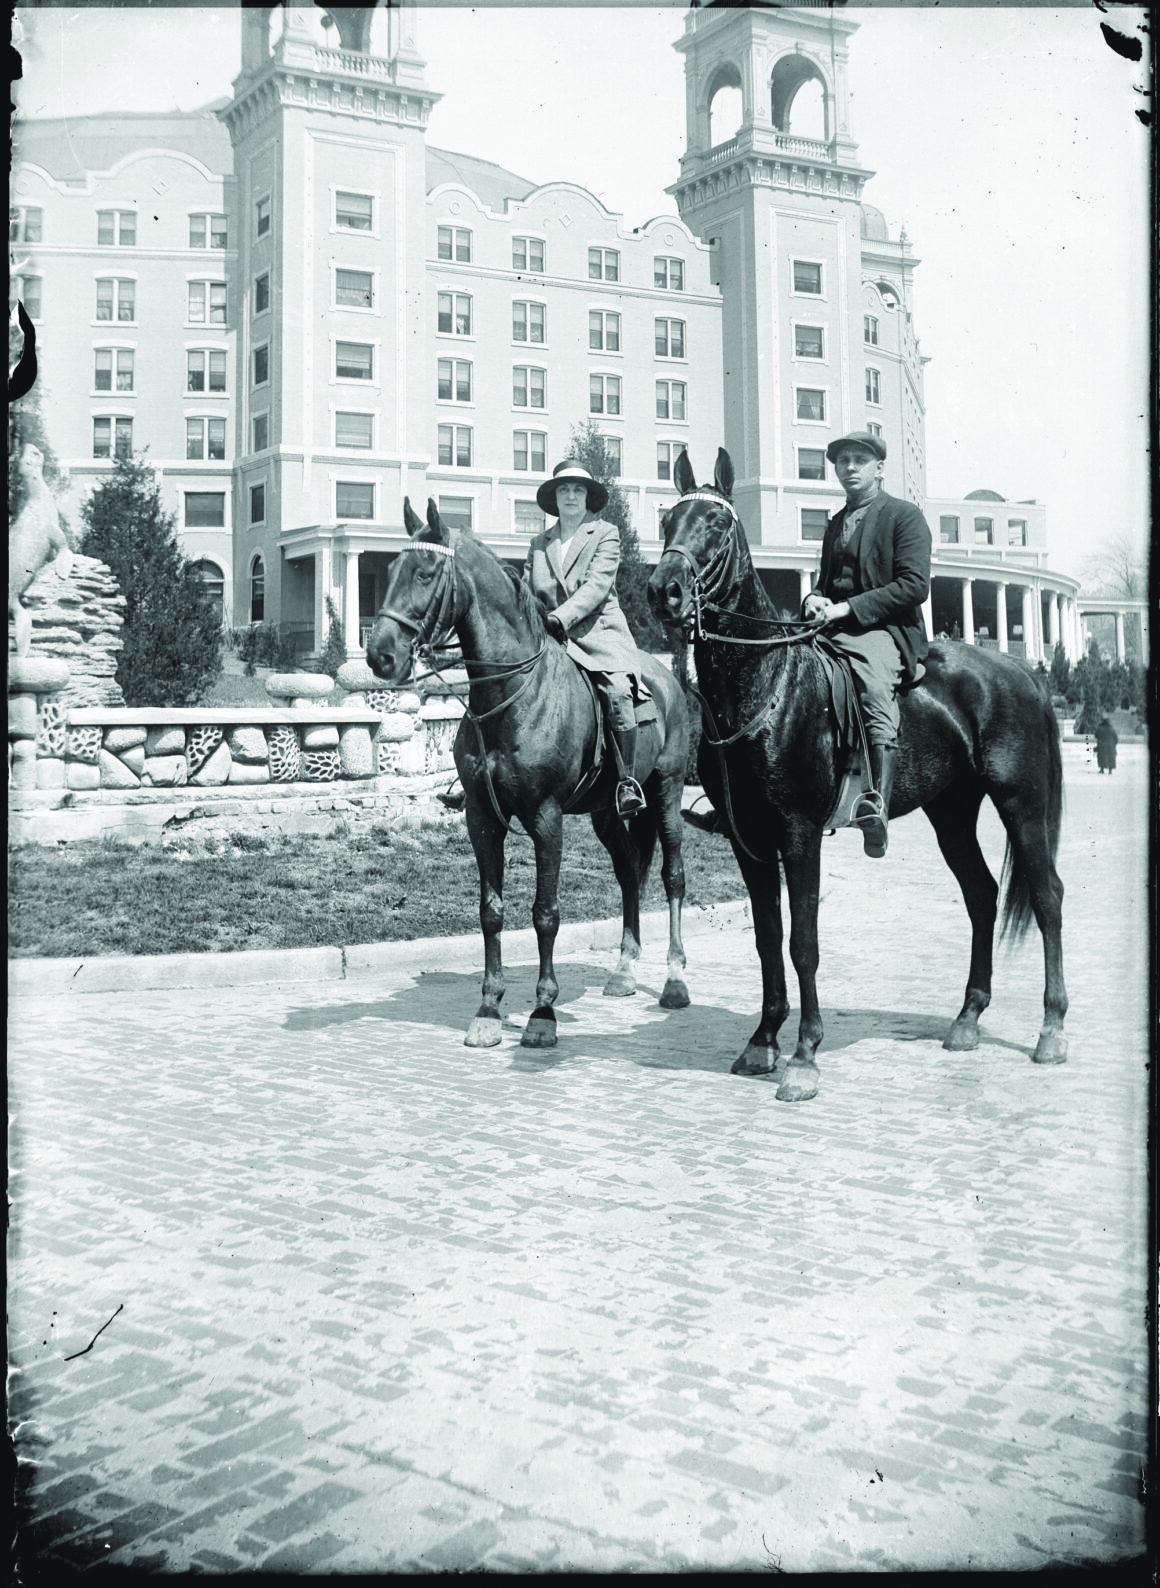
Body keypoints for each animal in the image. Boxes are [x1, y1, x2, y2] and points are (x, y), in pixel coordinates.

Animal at [365, 501, 686, 1054]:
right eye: (387, 571)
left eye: (424, 573)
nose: (379, 655)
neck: (511, 694)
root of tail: (669, 678)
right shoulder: (481, 818)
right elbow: (491, 911)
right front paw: (489, 1009)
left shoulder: (546, 818)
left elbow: (545, 913)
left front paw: (542, 1012)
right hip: (606, 812)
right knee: (629, 872)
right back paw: (623, 971)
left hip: (667, 792)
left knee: (672, 877)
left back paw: (674, 979)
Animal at [645, 447, 1061, 1105]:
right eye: (669, 521)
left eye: (717, 526)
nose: (664, 591)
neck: (764, 684)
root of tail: (1019, 670)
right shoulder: (748, 840)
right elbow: (767, 941)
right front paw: (763, 1040)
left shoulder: (798, 834)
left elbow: (803, 944)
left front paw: (804, 1056)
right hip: (951, 812)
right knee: (982, 895)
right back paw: (968, 1018)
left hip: (1022, 803)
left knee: (1046, 897)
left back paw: (1052, 1028)